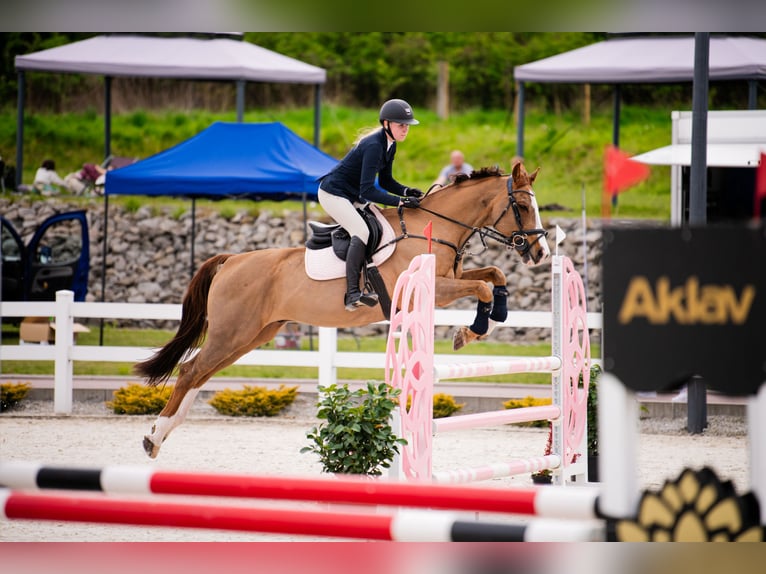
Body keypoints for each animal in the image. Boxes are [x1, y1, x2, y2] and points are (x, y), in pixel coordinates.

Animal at [136, 162, 552, 460]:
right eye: (522, 206)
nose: (540, 253)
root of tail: (231, 260)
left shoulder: (450, 279)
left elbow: (493, 275)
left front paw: (487, 321)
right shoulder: (433, 289)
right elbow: (482, 285)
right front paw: (472, 330)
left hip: (253, 334)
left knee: (200, 374)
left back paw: (164, 432)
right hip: (232, 332)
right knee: (191, 370)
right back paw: (154, 436)